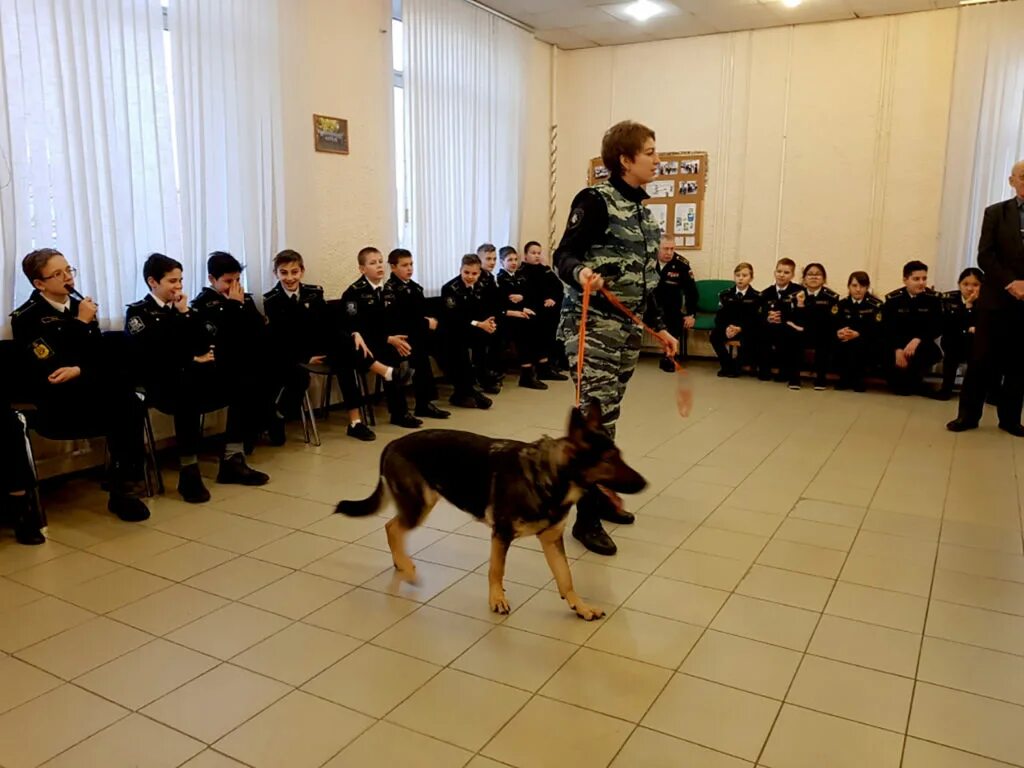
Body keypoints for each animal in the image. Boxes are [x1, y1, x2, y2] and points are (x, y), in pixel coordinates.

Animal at [335, 405, 643, 622]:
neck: (547, 476)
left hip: (421, 503)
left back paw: (401, 564)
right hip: (419, 505)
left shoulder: (551, 539)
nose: (644, 483)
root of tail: (391, 445)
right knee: (392, 528)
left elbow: (565, 577)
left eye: (619, 455)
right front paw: (497, 599)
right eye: (608, 460)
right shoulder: (501, 534)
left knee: (391, 526)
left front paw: (580, 606)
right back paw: (408, 569)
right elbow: (497, 569)